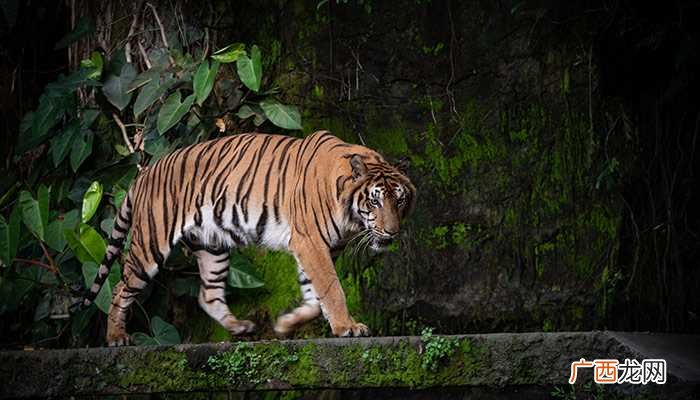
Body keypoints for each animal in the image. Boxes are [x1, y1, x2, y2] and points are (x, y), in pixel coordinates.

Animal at [82, 130, 416, 346]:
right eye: (374, 201)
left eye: (399, 200)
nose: (392, 232)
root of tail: (145, 172)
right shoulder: (310, 242)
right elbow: (331, 288)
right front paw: (348, 327)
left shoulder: (313, 247)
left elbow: (313, 294)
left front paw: (286, 324)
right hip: (151, 245)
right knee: (120, 288)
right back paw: (116, 338)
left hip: (213, 246)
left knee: (208, 295)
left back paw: (240, 327)